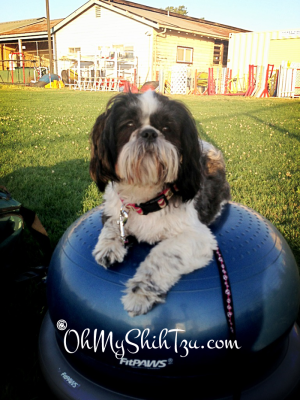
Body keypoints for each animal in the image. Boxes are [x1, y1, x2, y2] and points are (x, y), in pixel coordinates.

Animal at [89, 90, 230, 316]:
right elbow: (113, 224)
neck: (145, 200)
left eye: (166, 128)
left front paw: (140, 292)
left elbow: (163, 254)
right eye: (129, 124)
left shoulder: (199, 237)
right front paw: (108, 247)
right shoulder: (114, 208)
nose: (149, 133)